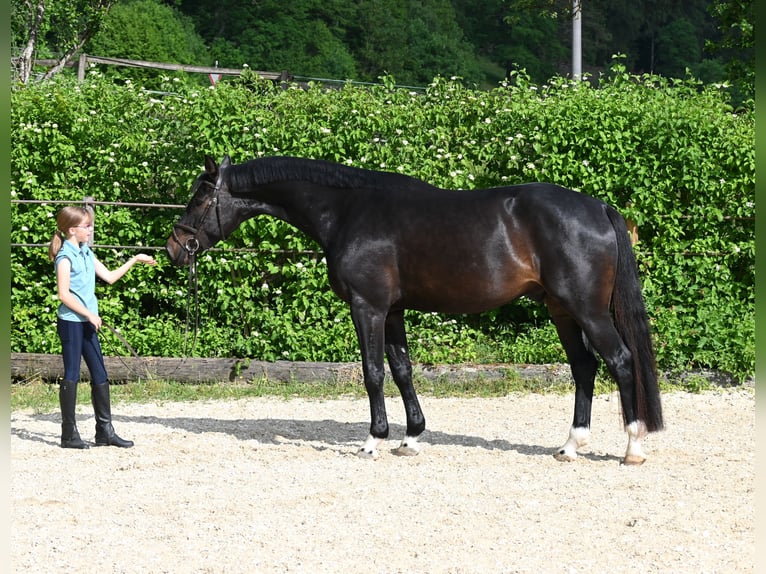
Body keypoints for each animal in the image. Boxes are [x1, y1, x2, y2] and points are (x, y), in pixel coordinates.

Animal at [166, 155, 664, 465]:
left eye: (200, 197)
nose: (174, 248)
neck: (348, 210)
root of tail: (598, 207)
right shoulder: (393, 311)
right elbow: (402, 369)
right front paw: (410, 437)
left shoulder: (367, 307)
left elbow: (372, 372)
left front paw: (373, 440)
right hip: (562, 311)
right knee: (584, 368)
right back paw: (571, 445)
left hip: (588, 310)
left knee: (620, 362)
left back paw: (633, 447)